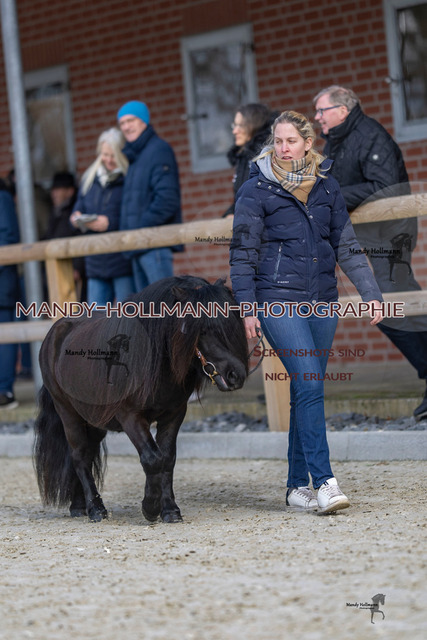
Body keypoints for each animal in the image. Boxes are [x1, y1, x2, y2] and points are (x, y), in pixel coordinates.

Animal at [33, 275, 248, 523]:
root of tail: (54, 335)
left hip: (95, 421)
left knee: (87, 453)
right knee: (79, 456)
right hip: (68, 413)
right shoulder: (130, 416)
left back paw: (79, 506)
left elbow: (167, 459)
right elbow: (152, 459)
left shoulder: (174, 414)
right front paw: (150, 507)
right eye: (202, 329)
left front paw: (170, 510)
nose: (236, 375)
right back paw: (96, 509)